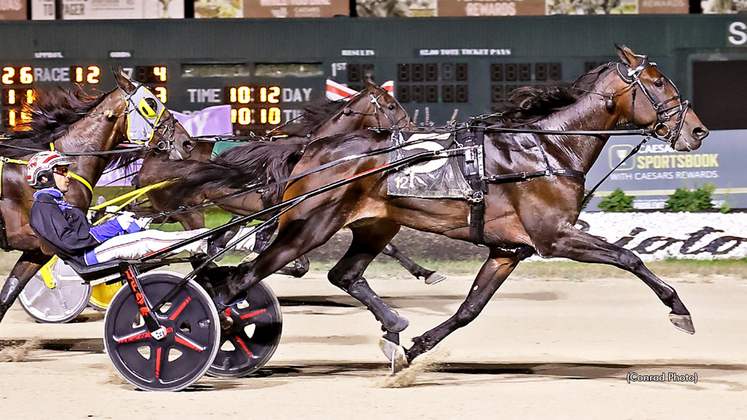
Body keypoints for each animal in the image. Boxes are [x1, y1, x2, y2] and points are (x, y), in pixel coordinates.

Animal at [133, 79, 444, 282]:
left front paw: (425, 272)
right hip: (188, 213)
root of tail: (154, 154)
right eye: (390, 105)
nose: (412, 130)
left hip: (169, 210)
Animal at [167, 45, 712, 368]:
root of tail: (312, 149)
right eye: (658, 82)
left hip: (374, 225)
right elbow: (628, 256)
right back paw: (192, 331)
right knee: (238, 279)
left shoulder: (508, 250)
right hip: (307, 227)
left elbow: (470, 308)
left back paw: (393, 325)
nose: (699, 130)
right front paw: (680, 310)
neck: (546, 147)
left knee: (343, 275)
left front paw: (417, 348)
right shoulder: (553, 236)